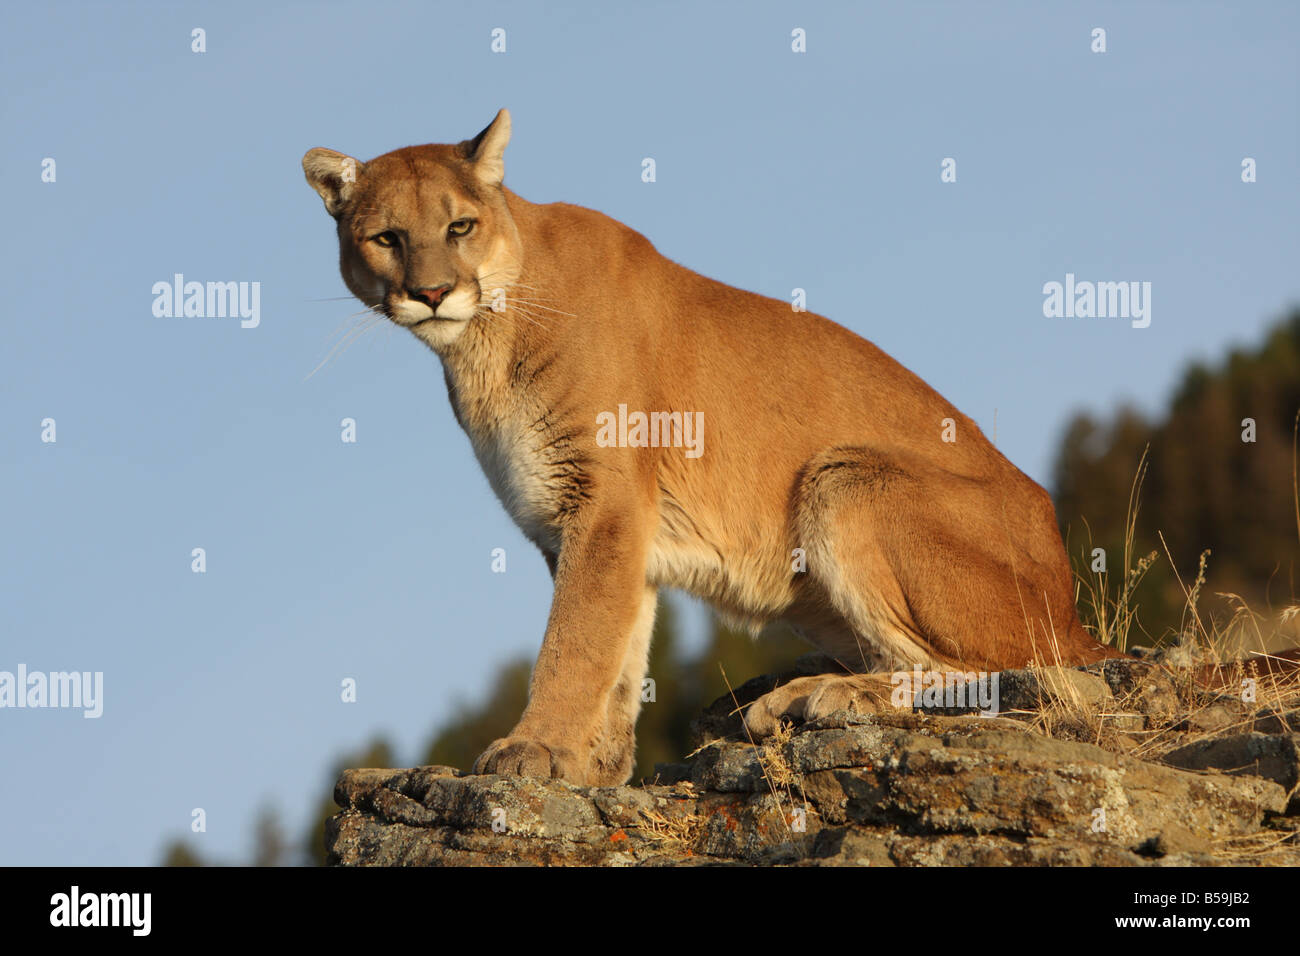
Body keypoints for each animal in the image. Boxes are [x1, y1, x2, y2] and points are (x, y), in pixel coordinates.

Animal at [304, 110, 1118, 785]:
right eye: (386, 238)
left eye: (460, 227)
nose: (432, 293)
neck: (481, 345)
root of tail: (1075, 607)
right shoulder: (584, 523)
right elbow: (619, 648)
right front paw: (595, 767)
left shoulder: (603, 503)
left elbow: (574, 642)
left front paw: (532, 748)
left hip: (845, 475)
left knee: (1003, 670)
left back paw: (822, 695)